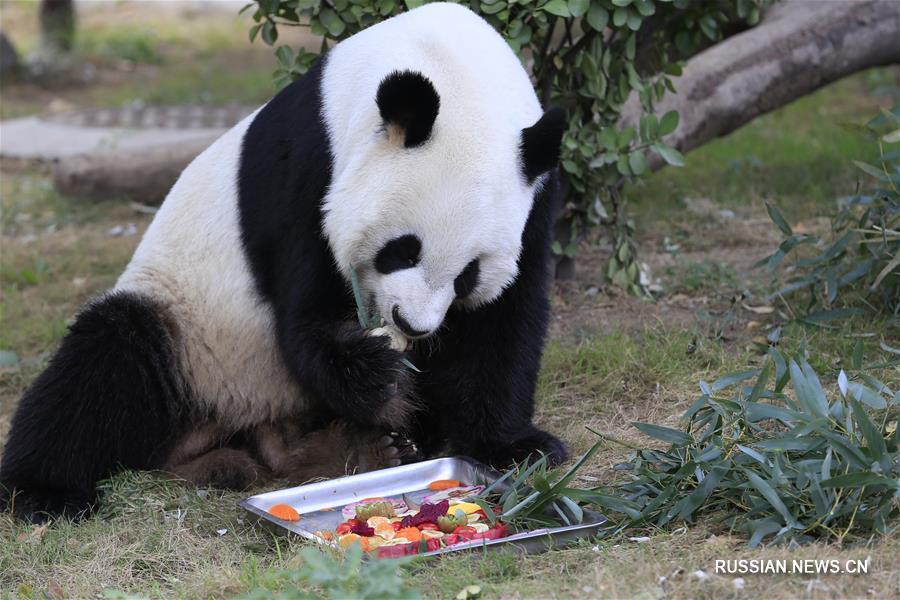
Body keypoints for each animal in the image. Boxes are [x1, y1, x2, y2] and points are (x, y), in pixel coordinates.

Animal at [0, 2, 568, 524]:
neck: (450, 66)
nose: (412, 325)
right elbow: (304, 319)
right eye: (403, 249)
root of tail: (219, 433)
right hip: (189, 330)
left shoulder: (534, 196)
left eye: (468, 273)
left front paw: (517, 446)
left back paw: (359, 449)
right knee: (105, 360)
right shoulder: (311, 166)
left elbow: (504, 321)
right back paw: (46, 493)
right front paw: (380, 376)